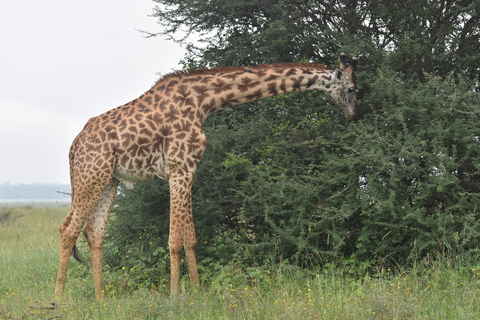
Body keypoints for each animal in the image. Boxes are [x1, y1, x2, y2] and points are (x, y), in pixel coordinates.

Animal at [55, 52, 356, 298]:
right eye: (353, 88)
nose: (354, 112)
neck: (203, 101)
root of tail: (74, 145)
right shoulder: (179, 168)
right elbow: (174, 240)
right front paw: (175, 297)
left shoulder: (190, 169)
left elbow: (191, 238)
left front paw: (197, 292)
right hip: (91, 176)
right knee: (68, 228)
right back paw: (60, 298)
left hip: (109, 181)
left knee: (94, 233)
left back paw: (101, 298)